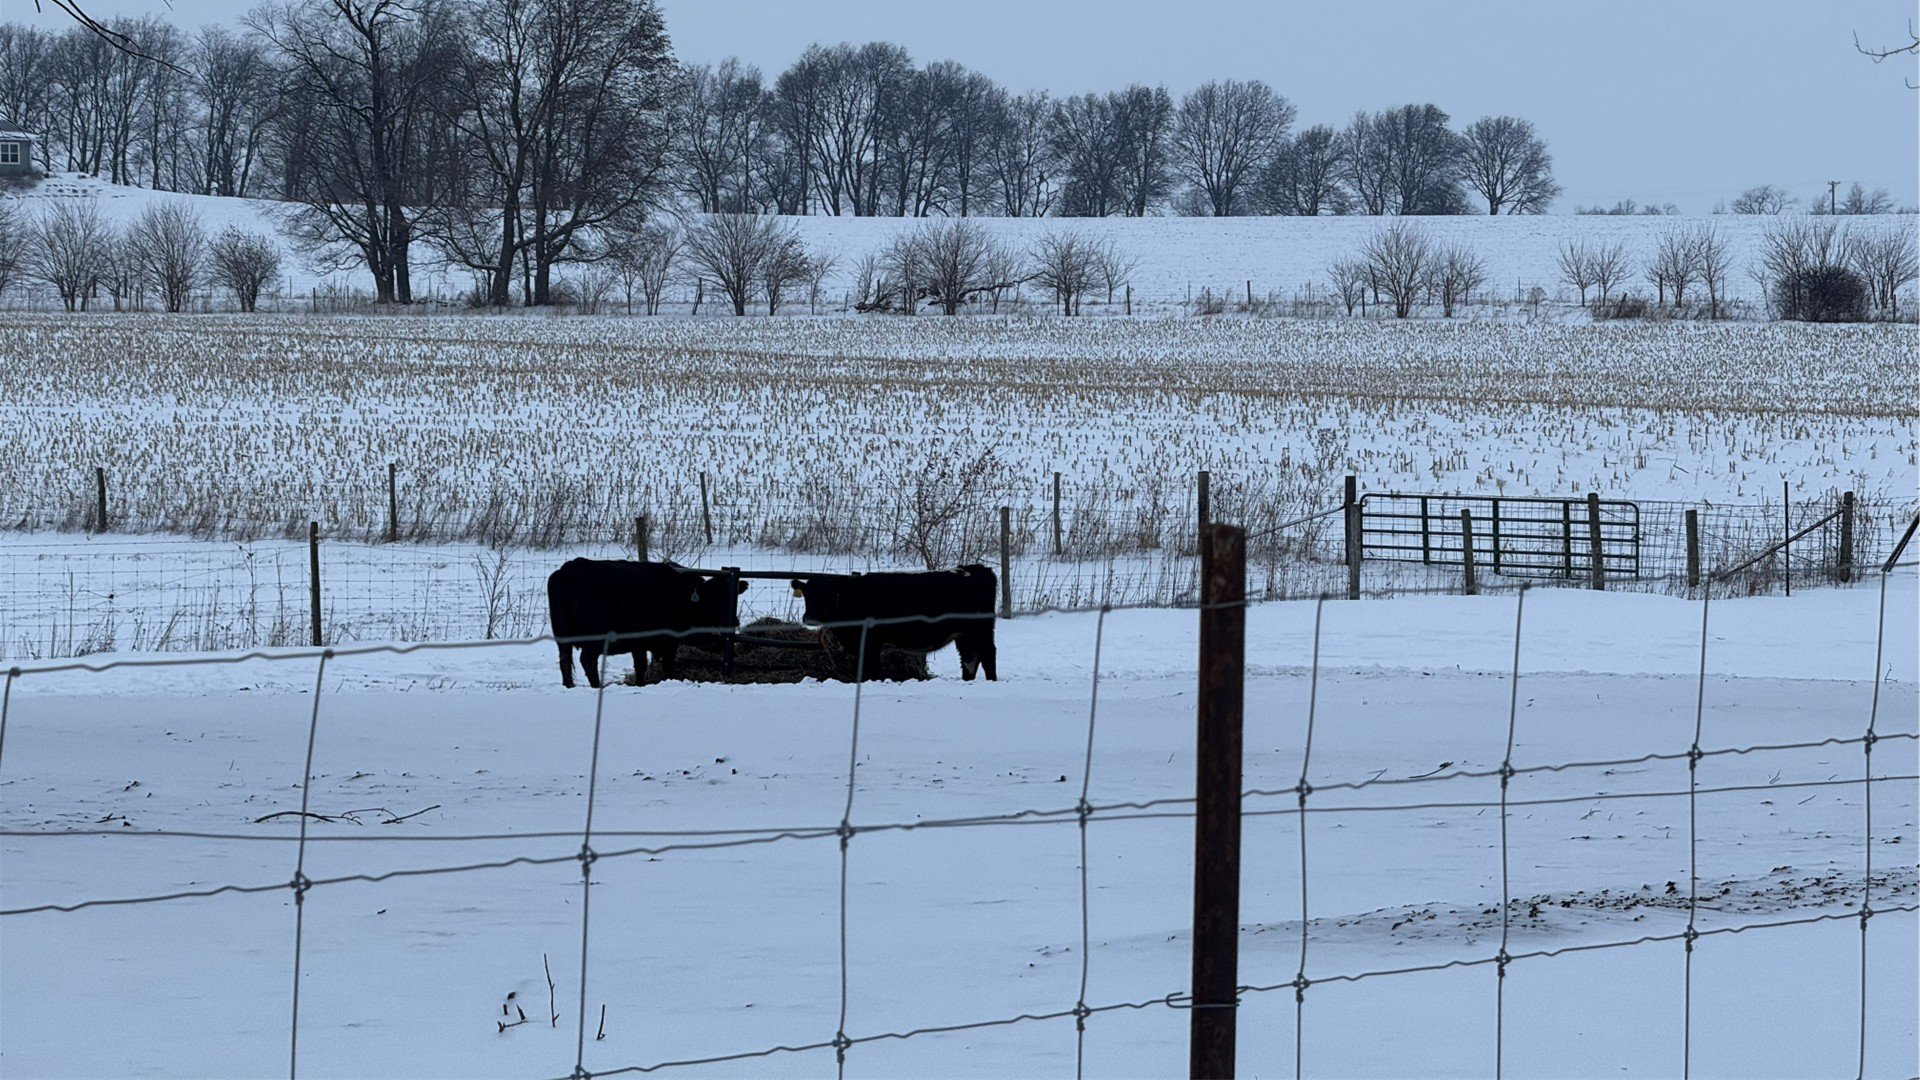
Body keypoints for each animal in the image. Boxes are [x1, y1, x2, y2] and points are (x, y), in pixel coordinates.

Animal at [547, 559, 747, 688]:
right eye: (715, 597)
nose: (735, 621)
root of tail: (567, 570)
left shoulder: (640, 643)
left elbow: (641, 665)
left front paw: (640, 684)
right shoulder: (667, 640)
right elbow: (665, 665)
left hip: (561, 638)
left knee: (564, 660)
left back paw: (569, 686)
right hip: (594, 638)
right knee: (587, 660)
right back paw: (597, 686)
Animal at [790, 565, 997, 681]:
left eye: (827, 596)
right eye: (807, 595)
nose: (809, 617)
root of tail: (978, 568)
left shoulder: (871, 643)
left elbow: (869, 670)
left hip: (981, 630)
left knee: (988, 655)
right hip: (965, 634)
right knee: (970, 658)